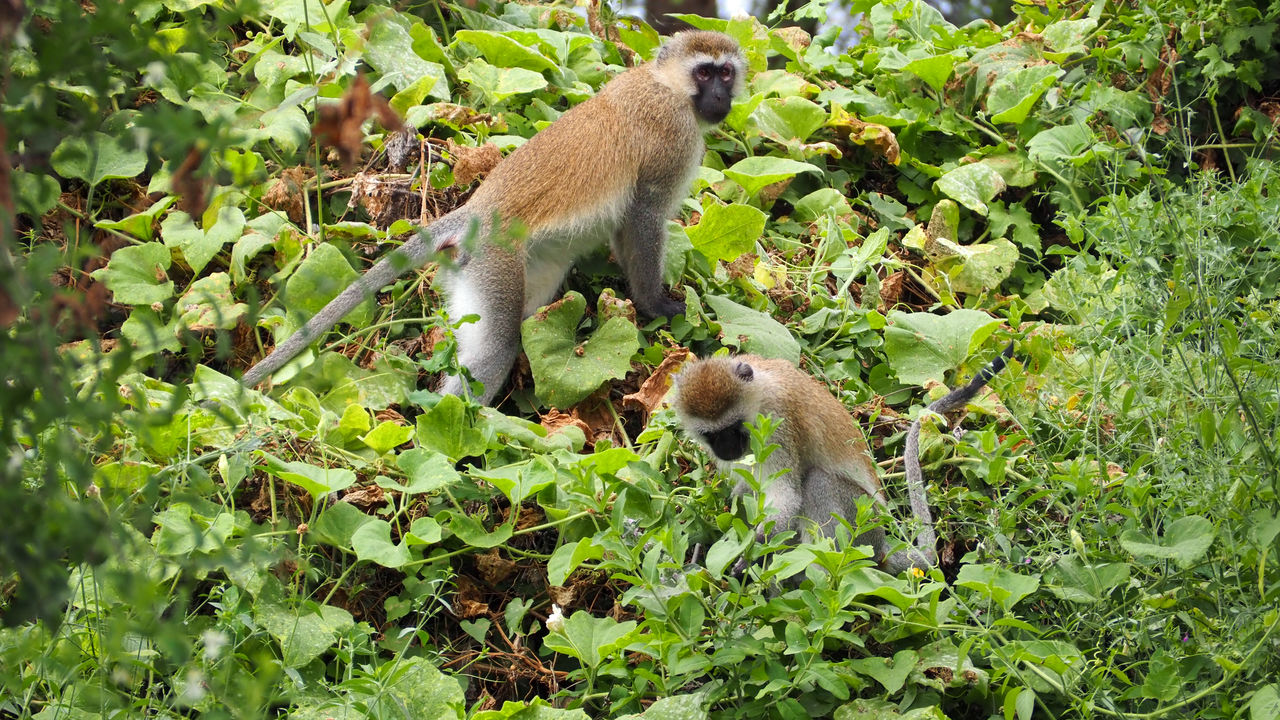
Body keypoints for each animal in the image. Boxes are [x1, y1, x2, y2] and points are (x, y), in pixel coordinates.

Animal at [238, 32, 747, 404]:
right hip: (492, 260)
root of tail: (477, 211)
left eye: (726, 72)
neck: (668, 86)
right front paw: (656, 305)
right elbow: (644, 218)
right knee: (497, 343)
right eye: (704, 71)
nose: (720, 95)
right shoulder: (672, 143)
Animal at [675, 345, 1013, 573]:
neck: (759, 388)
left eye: (734, 427)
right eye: (711, 435)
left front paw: (751, 554)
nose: (727, 450)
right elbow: (747, 489)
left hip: (862, 526)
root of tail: (881, 544)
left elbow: (786, 495)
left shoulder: (777, 423)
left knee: (817, 482)